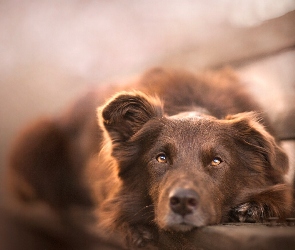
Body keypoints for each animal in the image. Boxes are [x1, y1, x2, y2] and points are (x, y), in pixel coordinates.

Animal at [4, 67, 294, 249]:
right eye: (161, 158)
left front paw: (257, 205)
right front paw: (136, 230)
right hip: (38, 138)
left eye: (216, 161)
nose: (182, 203)